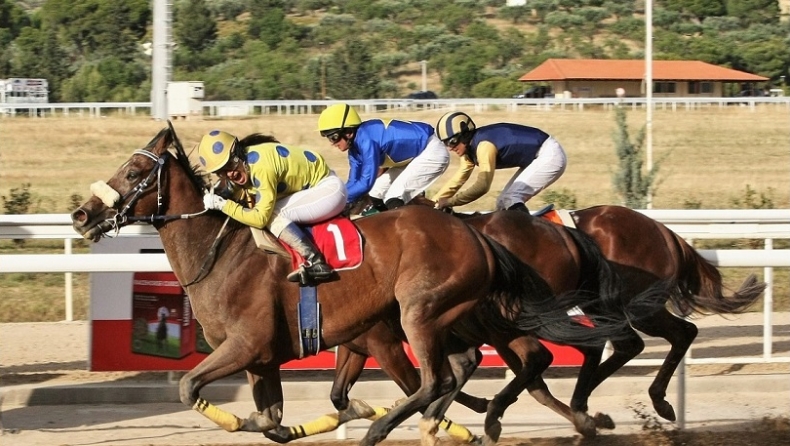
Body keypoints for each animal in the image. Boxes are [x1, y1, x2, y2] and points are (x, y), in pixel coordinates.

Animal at [68, 123, 636, 446]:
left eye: (134, 170)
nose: (81, 214)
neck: (221, 256)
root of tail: (475, 235)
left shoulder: (251, 345)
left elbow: (189, 387)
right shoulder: (268, 358)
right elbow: (276, 420)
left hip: (422, 311)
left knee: (447, 377)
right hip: (457, 317)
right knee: (481, 368)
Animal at [330, 196, 768, 440]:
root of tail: (663, 231)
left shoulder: (391, 341)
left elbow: (422, 384)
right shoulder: (361, 343)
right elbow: (341, 394)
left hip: (622, 305)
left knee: (637, 340)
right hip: (611, 307)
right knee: (653, 338)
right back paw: (612, 405)